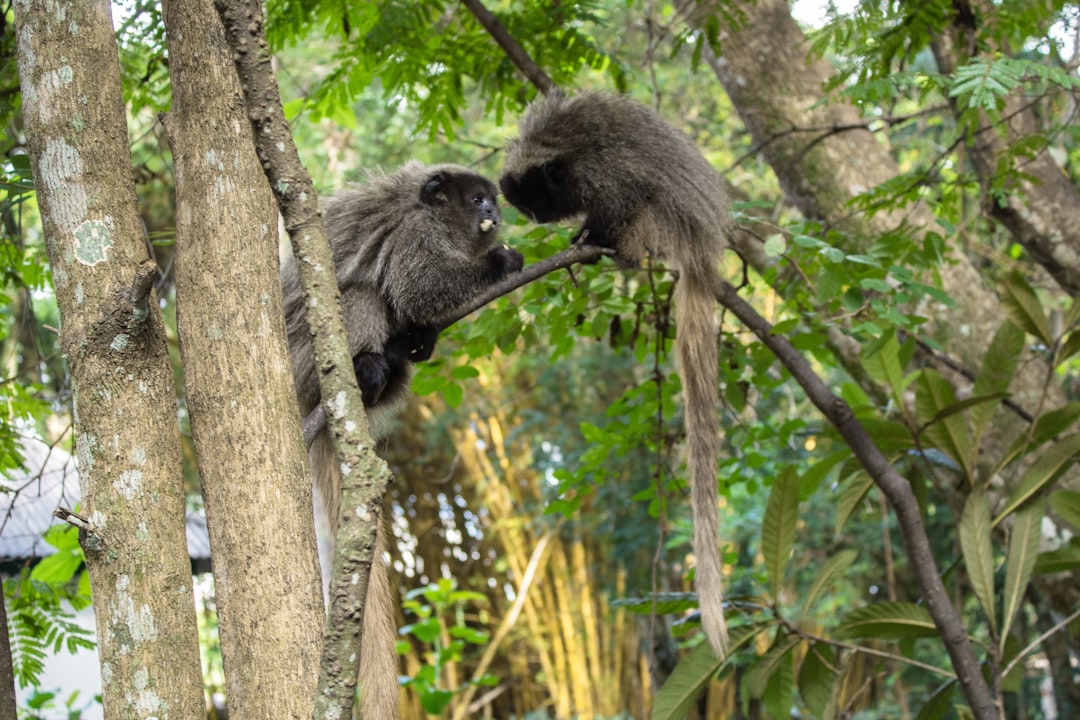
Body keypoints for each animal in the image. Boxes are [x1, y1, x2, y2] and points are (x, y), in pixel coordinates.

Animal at [280, 160, 524, 716]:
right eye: (476, 199)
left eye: (490, 198)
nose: (493, 210)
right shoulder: (417, 234)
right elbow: (419, 287)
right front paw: (501, 262)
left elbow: (416, 301)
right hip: (306, 361)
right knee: (362, 293)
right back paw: (365, 367)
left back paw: (402, 354)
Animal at [501, 91, 730, 660]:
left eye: (539, 199)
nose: (539, 216)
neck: (558, 155)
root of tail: (702, 244)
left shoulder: (600, 175)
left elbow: (621, 198)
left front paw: (590, 236)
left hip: (662, 222)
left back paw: (618, 250)